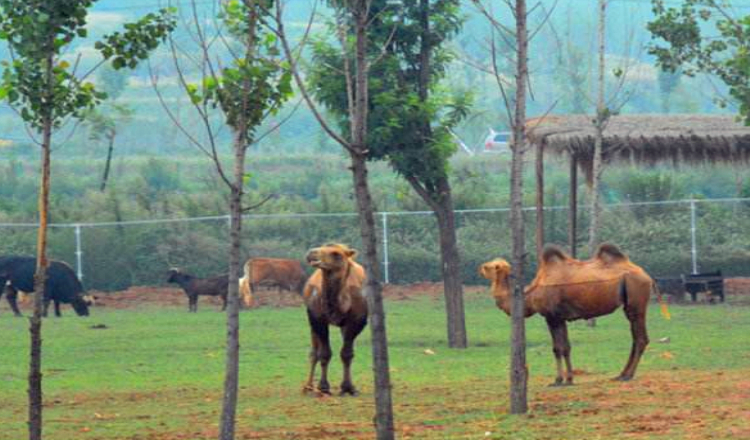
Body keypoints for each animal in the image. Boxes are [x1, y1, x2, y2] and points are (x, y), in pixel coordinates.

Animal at [302, 242, 368, 398]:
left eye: (336, 254)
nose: (311, 253)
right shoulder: (317, 319)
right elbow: (324, 354)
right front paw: (323, 387)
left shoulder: (356, 321)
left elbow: (347, 354)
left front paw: (348, 388)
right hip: (312, 322)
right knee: (314, 353)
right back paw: (308, 387)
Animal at [482, 244, 668, 384]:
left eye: (487, 267)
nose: (479, 268)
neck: (531, 295)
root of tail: (648, 276)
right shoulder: (560, 318)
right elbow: (566, 347)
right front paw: (569, 379)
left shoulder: (551, 317)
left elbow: (557, 348)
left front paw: (559, 380)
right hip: (631, 302)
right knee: (636, 338)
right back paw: (621, 374)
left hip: (636, 300)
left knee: (641, 338)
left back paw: (627, 376)